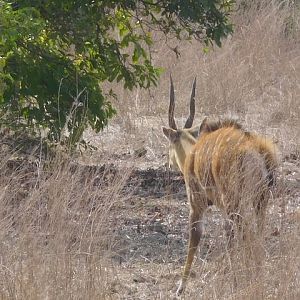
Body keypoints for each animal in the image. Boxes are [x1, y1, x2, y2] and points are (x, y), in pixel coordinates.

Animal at [163, 76, 278, 294]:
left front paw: (180, 287)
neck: (193, 152)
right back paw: (257, 276)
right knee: (257, 235)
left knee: (246, 234)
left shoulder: (197, 204)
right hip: (259, 201)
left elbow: (195, 238)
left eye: (170, 143)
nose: (169, 163)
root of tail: (257, 150)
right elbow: (229, 238)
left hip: (235, 202)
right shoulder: (224, 210)